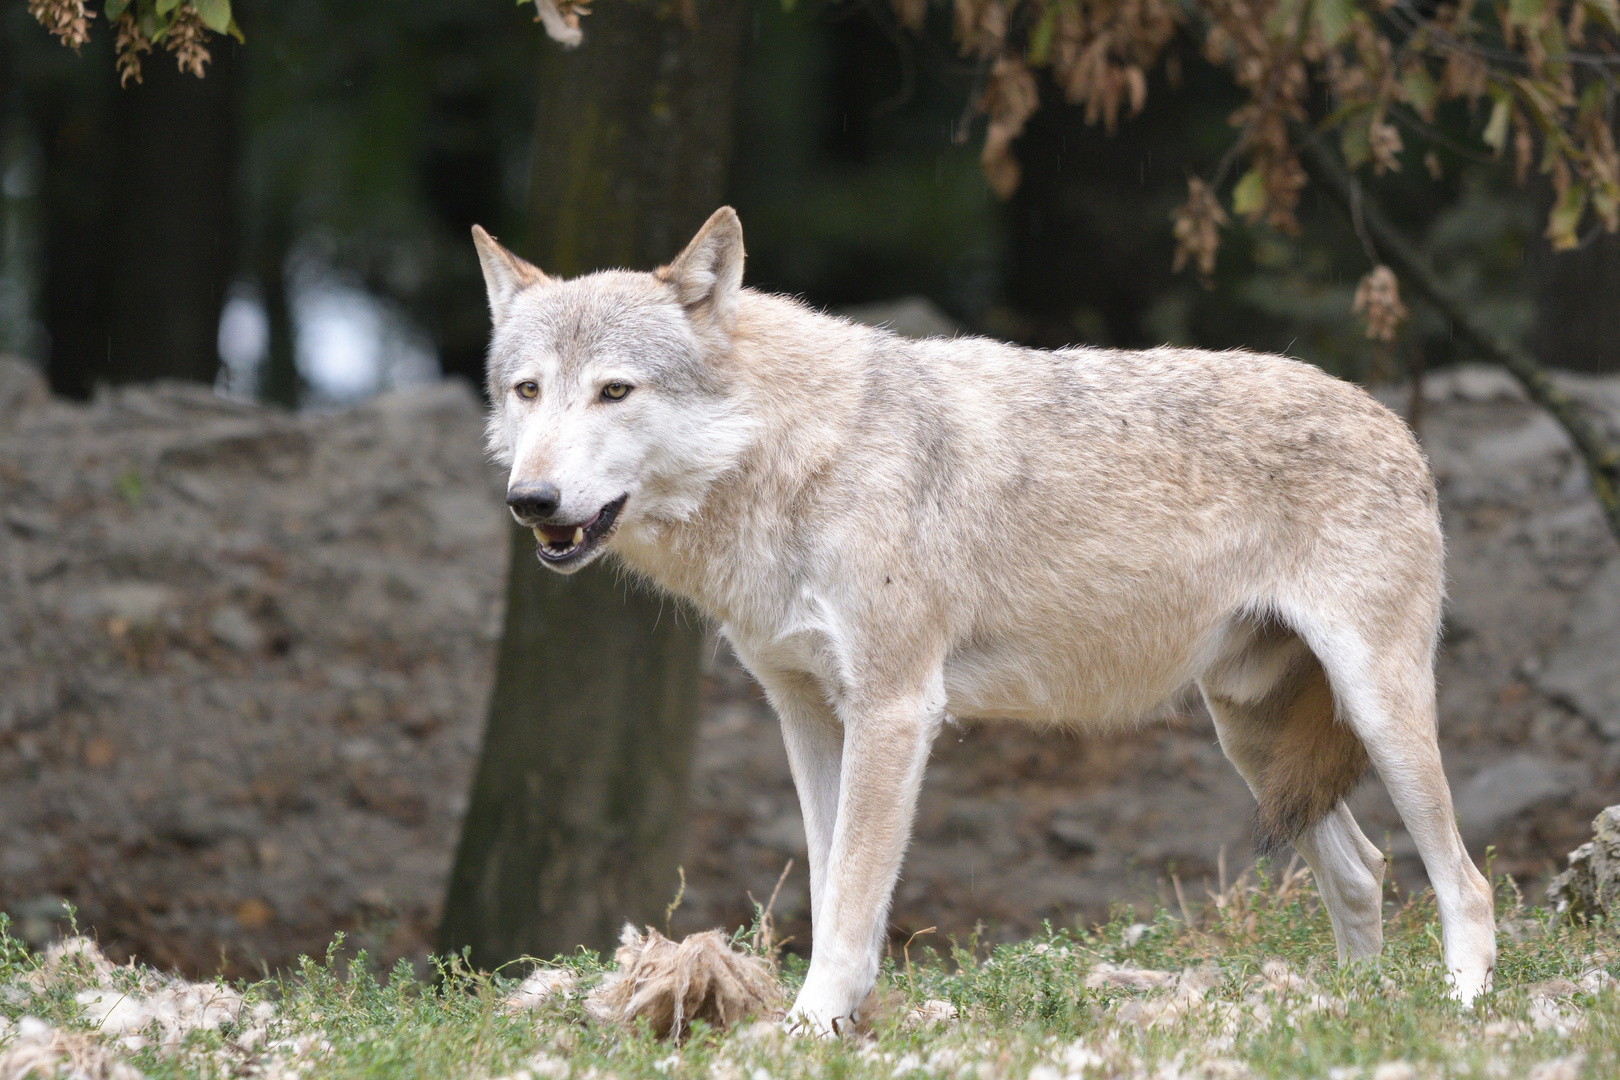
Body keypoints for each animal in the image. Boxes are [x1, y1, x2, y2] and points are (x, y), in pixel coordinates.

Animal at [469, 208, 1490, 1029]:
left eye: (615, 390)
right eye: (528, 391)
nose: (531, 500)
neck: (797, 458)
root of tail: (1394, 423)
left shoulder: (894, 710)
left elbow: (851, 897)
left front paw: (809, 1028)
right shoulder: (805, 714)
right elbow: (833, 882)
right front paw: (844, 1019)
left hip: (1379, 713)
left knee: (1466, 884)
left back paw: (1460, 1009)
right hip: (1252, 739)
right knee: (1364, 870)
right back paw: (1347, 1010)